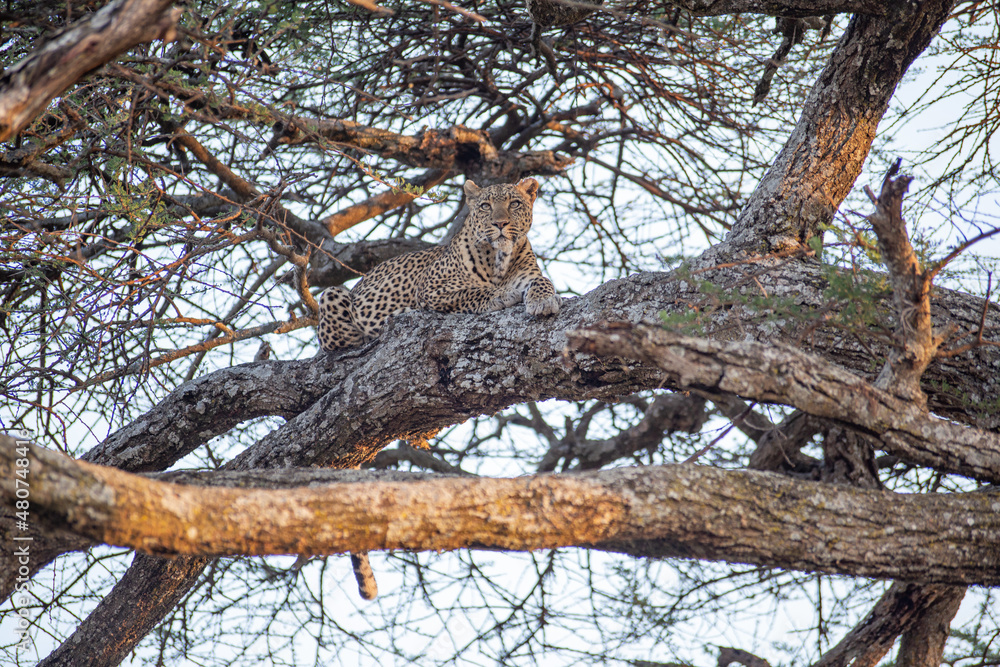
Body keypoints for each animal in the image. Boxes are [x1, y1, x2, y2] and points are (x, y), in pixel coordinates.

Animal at [317, 177, 561, 351]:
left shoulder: (528, 276)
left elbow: (543, 280)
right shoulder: (430, 288)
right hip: (331, 296)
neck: (499, 259)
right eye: (485, 206)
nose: (500, 223)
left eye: (515, 204)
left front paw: (544, 300)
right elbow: (470, 292)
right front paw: (501, 294)